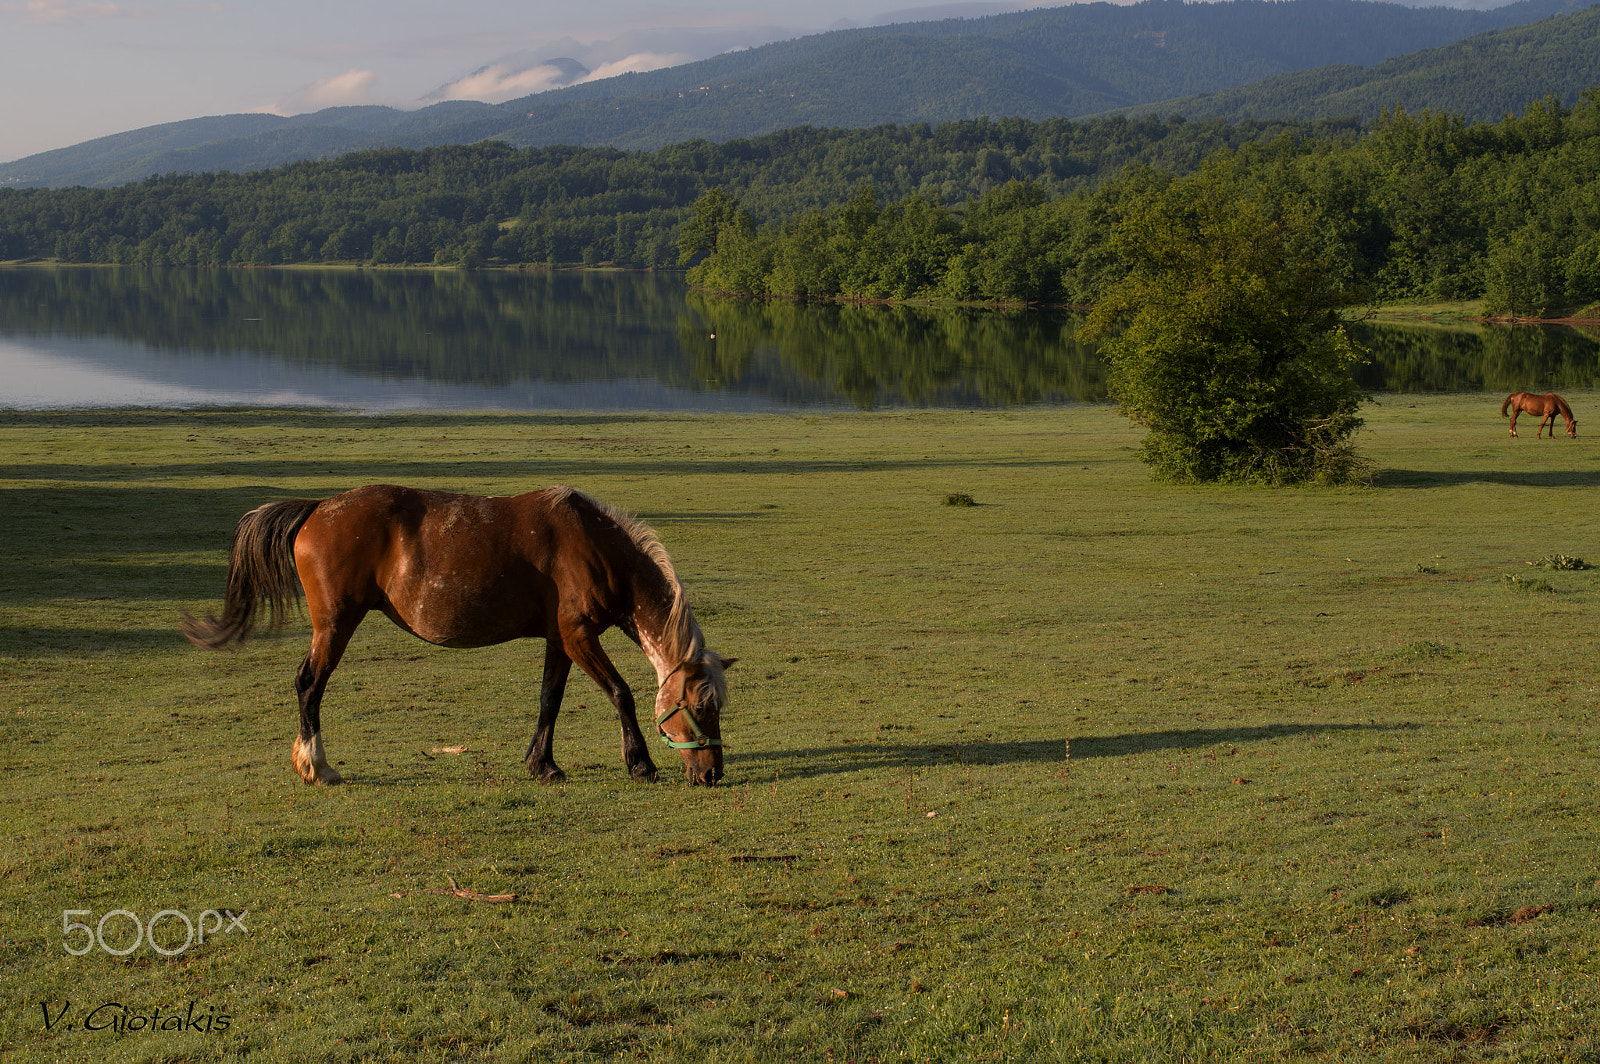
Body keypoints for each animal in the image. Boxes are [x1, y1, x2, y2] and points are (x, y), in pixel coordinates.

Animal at [184, 486, 732, 784]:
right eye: (700, 707)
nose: (712, 773)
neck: (594, 545)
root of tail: (318, 508)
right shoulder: (579, 637)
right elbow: (620, 694)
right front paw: (640, 764)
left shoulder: (560, 642)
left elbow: (549, 701)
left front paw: (541, 765)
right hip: (335, 626)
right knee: (309, 685)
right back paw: (318, 767)